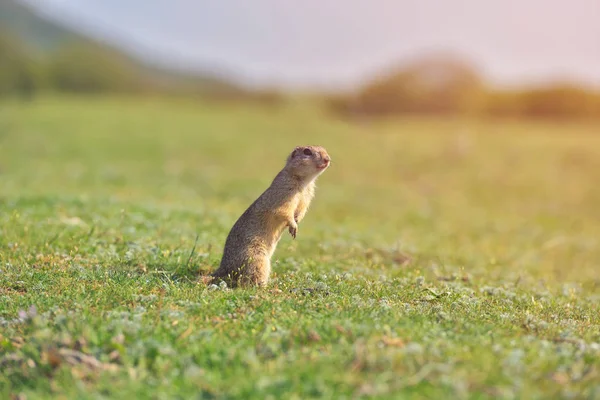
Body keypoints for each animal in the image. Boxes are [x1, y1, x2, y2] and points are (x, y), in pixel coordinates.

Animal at [211, 145, 330, 286]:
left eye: (324, 149)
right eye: (307, 151)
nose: (328, 159)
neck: (304, 181)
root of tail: (223, 268)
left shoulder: (307, 196)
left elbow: (301, 210)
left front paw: (296, 223)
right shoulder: (284, 191)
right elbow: (283, 210)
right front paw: (293, 225)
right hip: (256, 259)